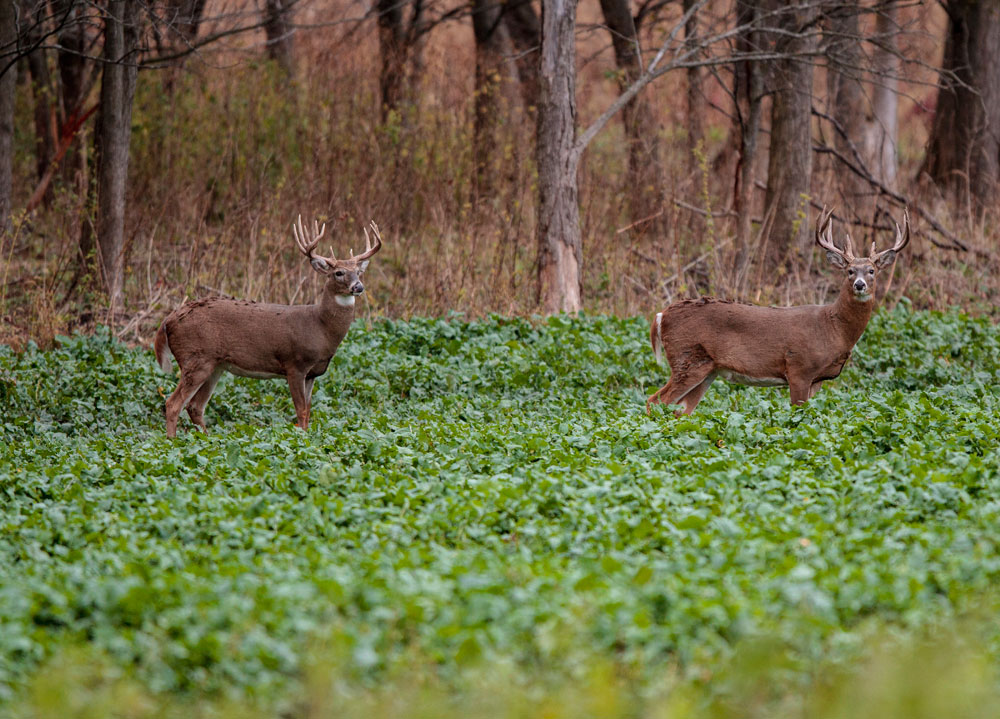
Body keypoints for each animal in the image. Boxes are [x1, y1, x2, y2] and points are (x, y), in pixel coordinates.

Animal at [153, 217, 382, 436]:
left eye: (358, 272)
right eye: (339, 273)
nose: (358, 287)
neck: (320, 328)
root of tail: (168, 320)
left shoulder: (312, 373)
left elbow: (308, 412)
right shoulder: (295, 364)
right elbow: (300, 411)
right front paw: (301, 439)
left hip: (215, 364)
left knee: (195, 406)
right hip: (195, 358)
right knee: (173, 404)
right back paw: (173, 442)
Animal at [644, 205, 912, 414]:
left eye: (872, 270)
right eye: (849, 271)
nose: (859, 284)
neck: (833, 328)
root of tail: (661, 315)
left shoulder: (818, 380)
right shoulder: (799, 368)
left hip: (707, 369)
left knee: (680, 411)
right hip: (686, 358)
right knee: (654, 401)